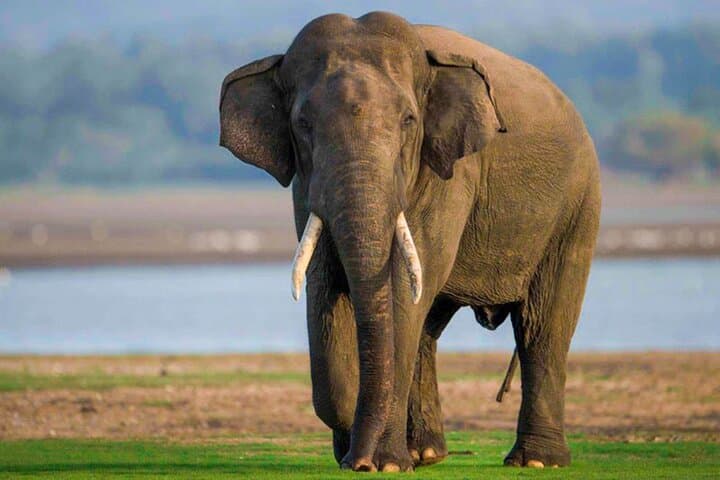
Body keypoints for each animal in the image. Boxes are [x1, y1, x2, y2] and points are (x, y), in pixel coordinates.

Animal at [219, 12, 600, 472]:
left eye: (409, 122)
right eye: (302, 125)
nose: (357, 458)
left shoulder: (448, 173)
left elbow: (401, 291)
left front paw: (379, 463)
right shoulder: (304, 186)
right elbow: (325, 285)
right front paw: (356, 452)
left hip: (577, 207)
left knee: (541, 327)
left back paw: (537, 462)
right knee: (429, 327)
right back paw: (426, 455)